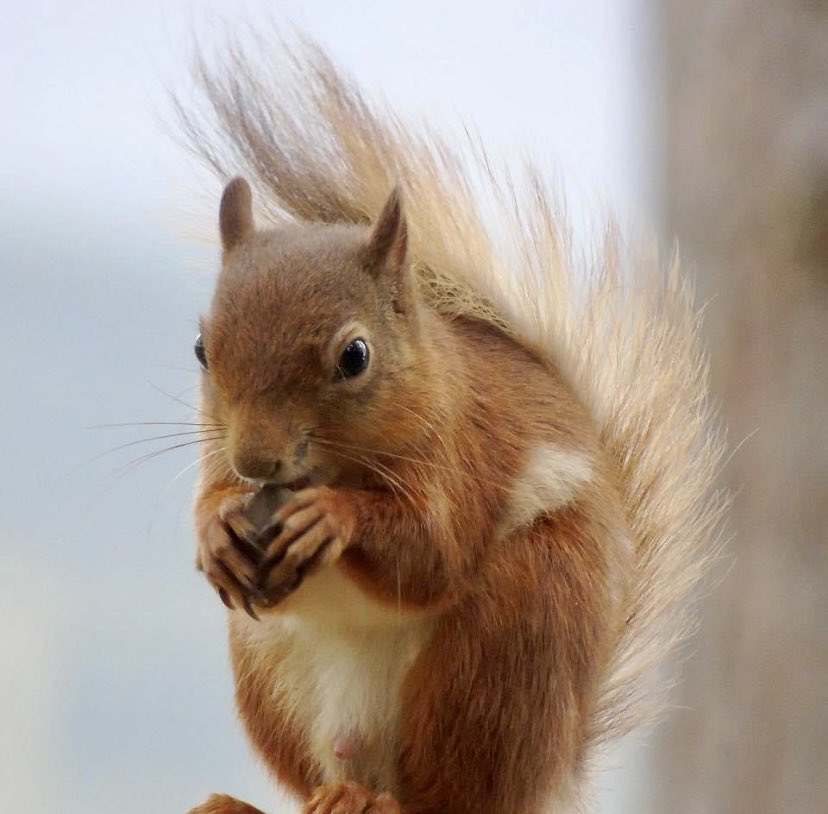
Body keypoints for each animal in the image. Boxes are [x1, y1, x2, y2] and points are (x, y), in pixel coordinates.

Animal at [181, 43, 724, 814]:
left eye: (355, 356)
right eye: (202, 348)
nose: (257, 461)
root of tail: (552, 775)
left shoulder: (463, 450)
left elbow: (432, 548)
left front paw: (332, 515)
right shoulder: (216, 455)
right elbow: (210, 497)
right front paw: (215, 530)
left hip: (505, 648)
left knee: (452, 793)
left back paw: (379, 801)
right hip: (271, 676)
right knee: (320, 775)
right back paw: (282, 799)